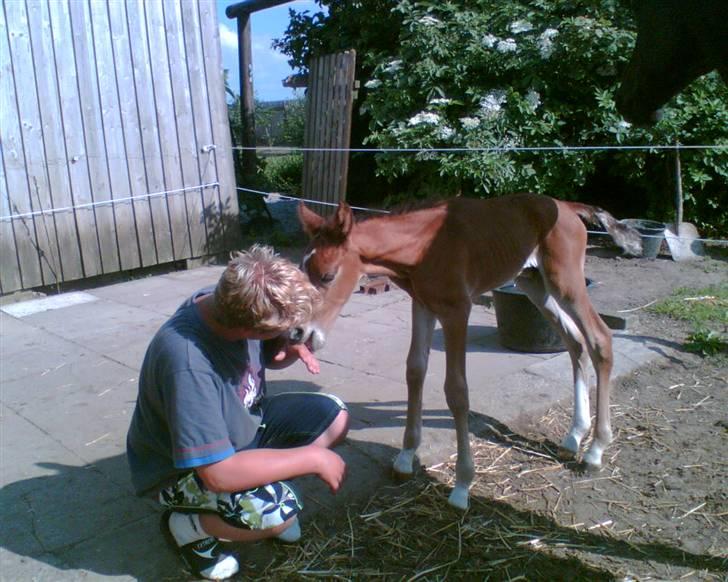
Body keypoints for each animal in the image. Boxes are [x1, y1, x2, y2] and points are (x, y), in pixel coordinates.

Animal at [294, 194, 636, 508]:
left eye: (328, 275)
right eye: (300, 270)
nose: (300, 334)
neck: (422, 249)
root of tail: (567, 206)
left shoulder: (457, 310)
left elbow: (457, 390)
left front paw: (461, 485)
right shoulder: (423, 306)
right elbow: (415, 370)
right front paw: (405, 457)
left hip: (566, 282)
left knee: (599, 339)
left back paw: (595, 450)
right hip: (534, 284)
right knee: (574, 342)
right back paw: (575, 435)